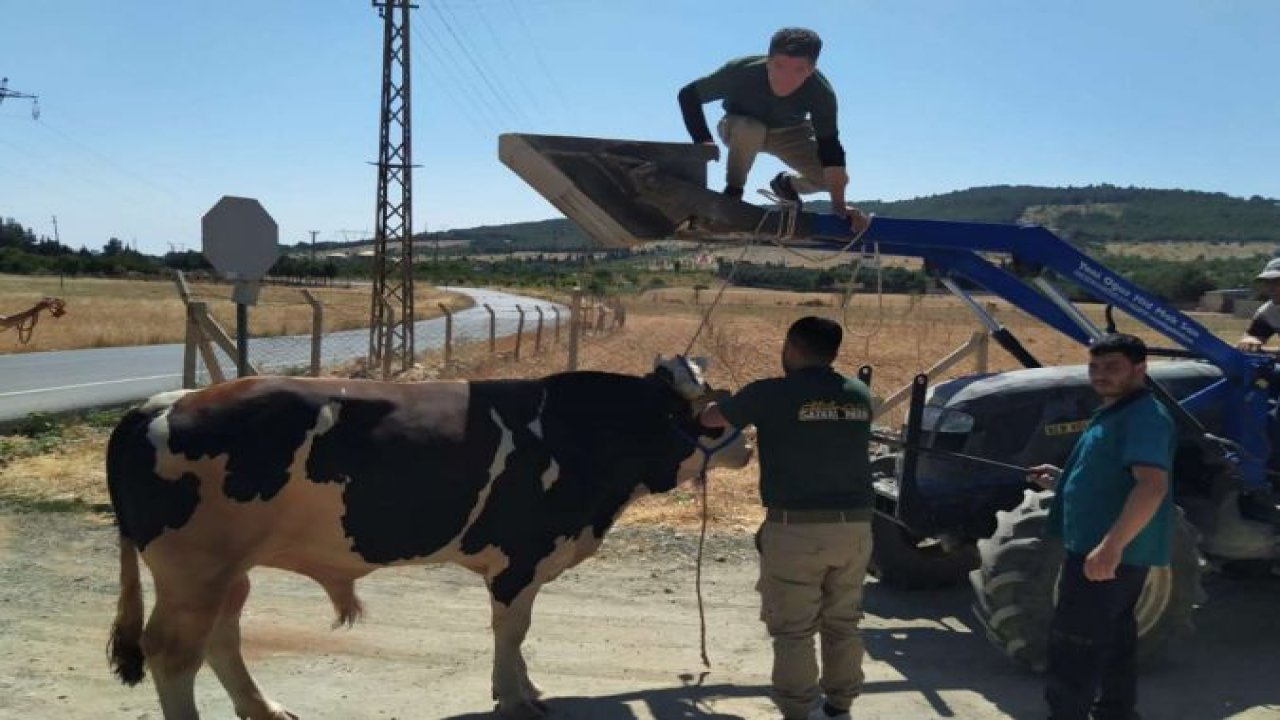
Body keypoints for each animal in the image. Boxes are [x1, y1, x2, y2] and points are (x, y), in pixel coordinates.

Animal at [110, 356, 752, 717]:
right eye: (702, 414)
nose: (747, 443)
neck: (575, 433)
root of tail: (162, 402)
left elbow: (518, 633)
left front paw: (526, 688)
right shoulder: (521, 558)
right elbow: (512, 631)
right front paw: (514, 696)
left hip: (227, 572)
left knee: (223, 637)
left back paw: (262, 707)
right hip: (193, 573)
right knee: (172, 654)